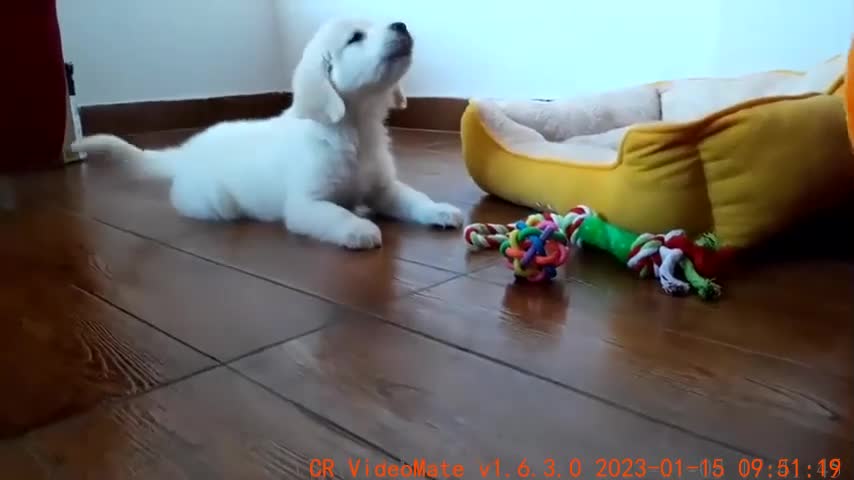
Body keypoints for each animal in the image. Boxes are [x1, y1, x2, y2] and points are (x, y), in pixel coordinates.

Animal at [70, 16, 464, 249]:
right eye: (355, 38)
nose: (401, 24)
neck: (355, 128)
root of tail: (186, 153)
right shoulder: (306, 204)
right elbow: (335, 214)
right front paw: (358, 229)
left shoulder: (383, 188)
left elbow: (413, 198)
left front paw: (440, 210)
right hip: (215, 202)